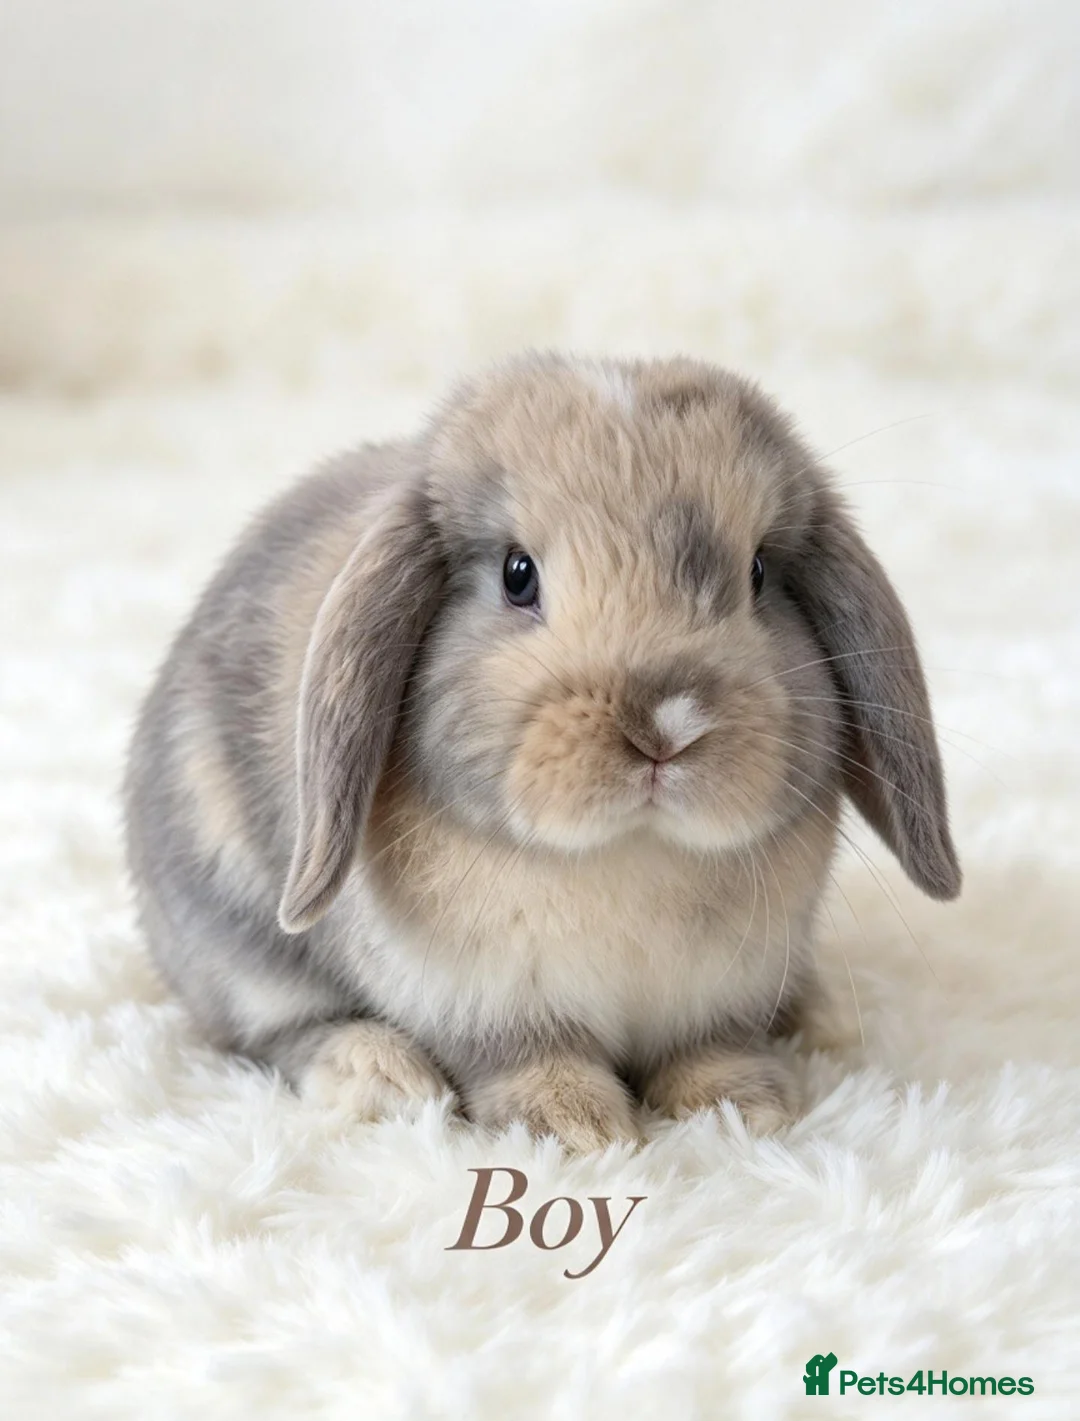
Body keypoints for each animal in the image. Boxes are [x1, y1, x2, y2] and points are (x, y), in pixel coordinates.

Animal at [124, 353, 960, 1152]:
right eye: (517, 574)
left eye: (757, 573)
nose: (665, 727)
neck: (628, 856)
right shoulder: (485, 1000)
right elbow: (526, 1059)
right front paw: (576, 1126)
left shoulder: (723, 993)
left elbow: (711, 1050)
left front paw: (741, 1109)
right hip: (236, 938)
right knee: (276, 1030)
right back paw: (381, 1075)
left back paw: (822, 1014)